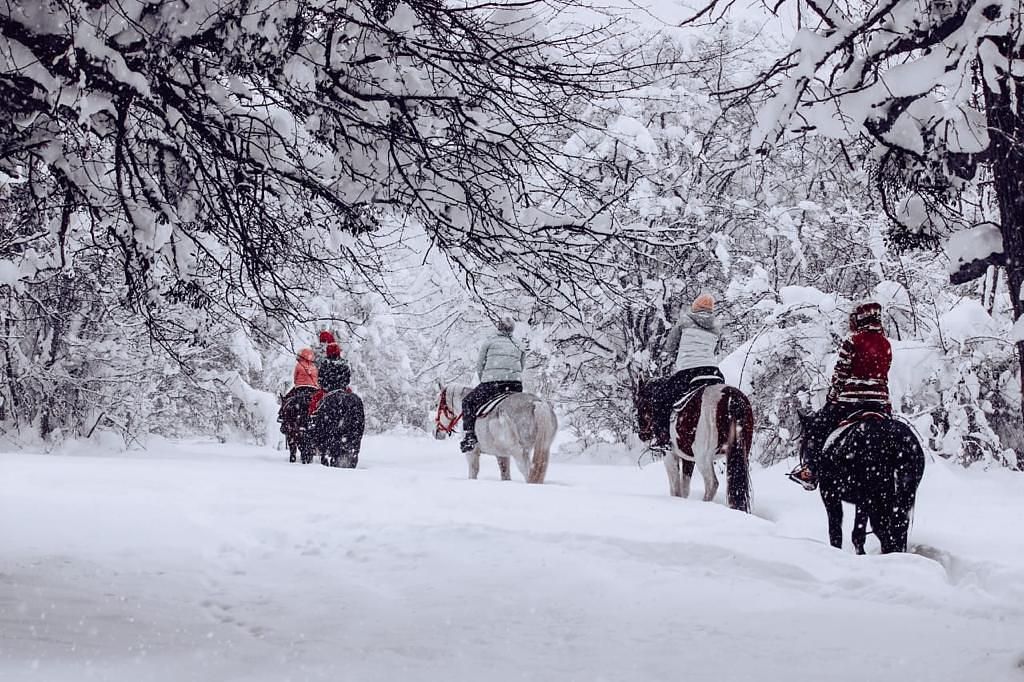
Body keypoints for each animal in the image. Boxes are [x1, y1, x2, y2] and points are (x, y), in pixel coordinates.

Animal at [432, 382, 561, 483]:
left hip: (519, 452)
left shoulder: (472, 453)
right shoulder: (502, 455)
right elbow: (505, 475)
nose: (435, 432)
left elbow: (473, 473)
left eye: (436, 404)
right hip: (543, 447)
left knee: (528, 473)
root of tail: (536, 403)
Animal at [634, 376, 757, 509]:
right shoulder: (688, 459)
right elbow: (685, 488)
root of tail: (731, 398)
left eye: (640, 405)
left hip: (703, 458)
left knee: (712, 484)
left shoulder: (669, 455)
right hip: (741, 453)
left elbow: (675, 489)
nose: (642, 435)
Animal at [794, 409, 933, 552]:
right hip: (898, 495)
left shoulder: (830, 495)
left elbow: (836, 531)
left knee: (861, 533)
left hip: (867, 498)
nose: (808, 472)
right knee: (896, 528)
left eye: (804, 439)